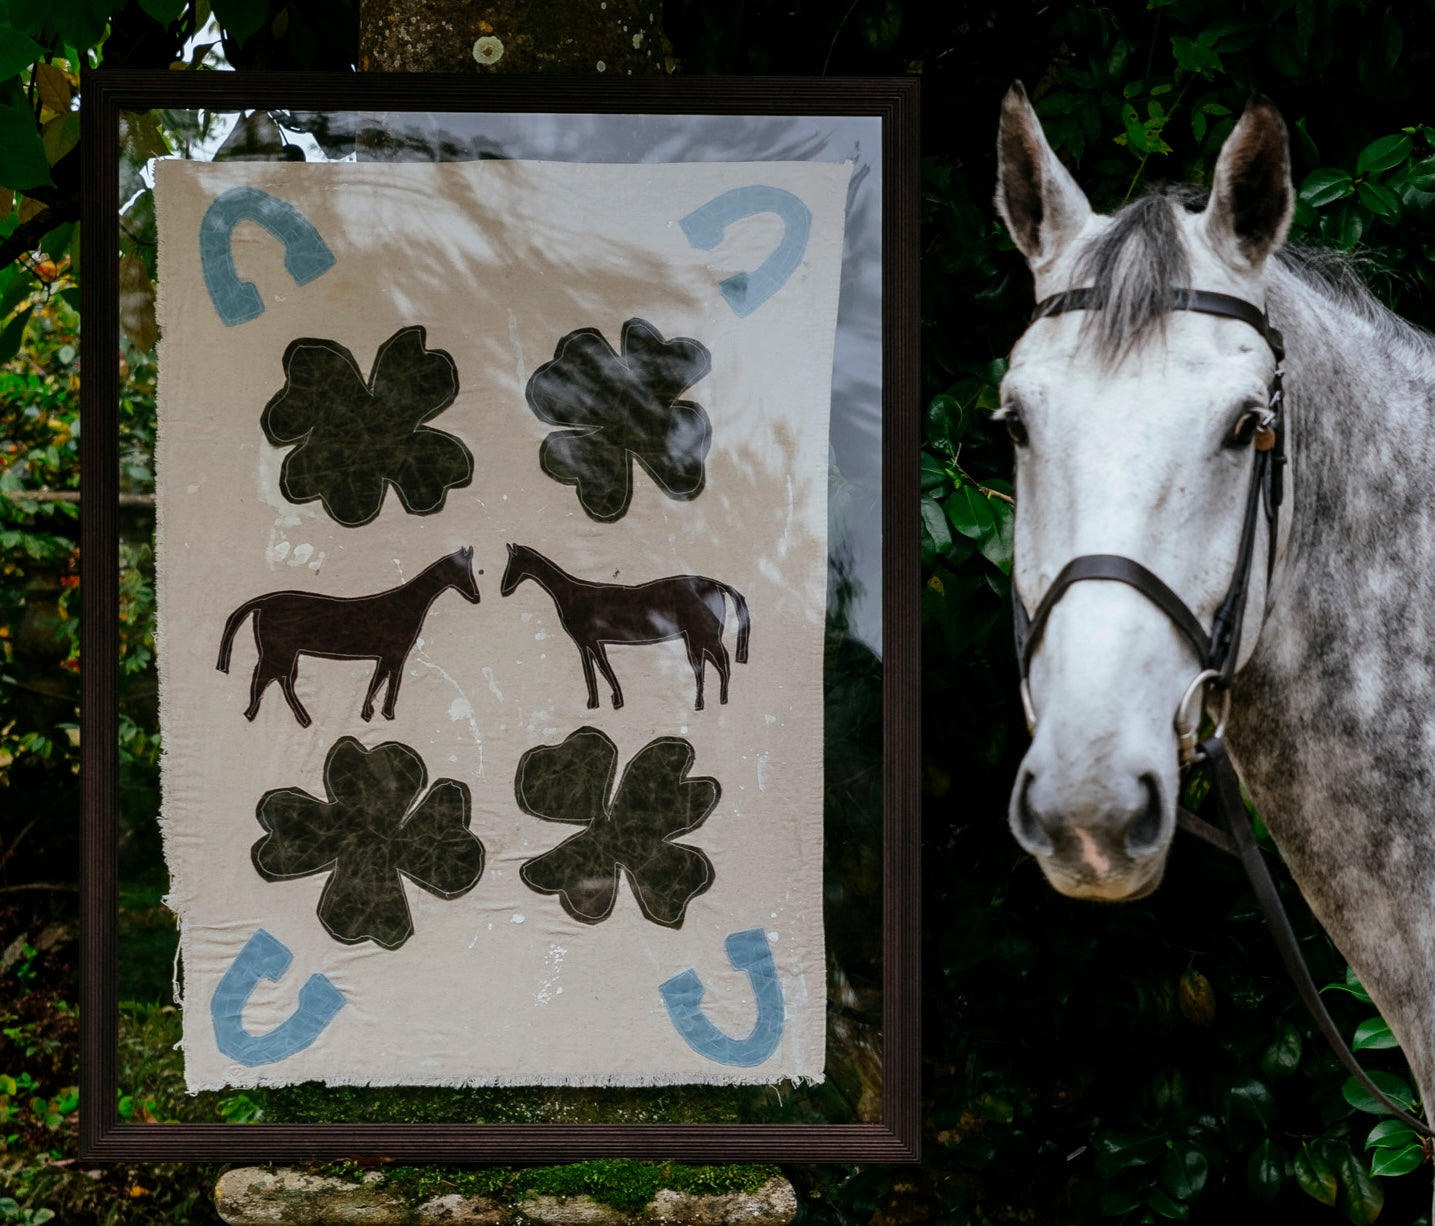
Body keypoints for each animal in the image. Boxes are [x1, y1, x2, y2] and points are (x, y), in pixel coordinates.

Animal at [213, 548, 482, 729]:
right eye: (463, 570)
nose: (476, 597)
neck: (408, 605)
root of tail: (263, 602)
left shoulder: (387, 655)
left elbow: (378, 681)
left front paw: (369, 713)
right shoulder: (396, 654)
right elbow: (389, 682)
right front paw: (384, 714)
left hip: (285, 652)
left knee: (280, 679)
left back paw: (302, 718)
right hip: (278, 651)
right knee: (266, 677)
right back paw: (257, 714)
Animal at [499, 545, 751, 709]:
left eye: (512, 562)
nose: (503, 589)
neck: (568, 594)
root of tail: (716, 584)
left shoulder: (588, 639)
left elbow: (600, 668)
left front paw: (609, 701)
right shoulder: (587, 642)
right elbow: (593, 670)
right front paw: (600, 702)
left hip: (705, 634)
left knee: (722, 661)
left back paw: (721, 700)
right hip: (695, 637)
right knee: (705, 665)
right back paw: (702, 703)